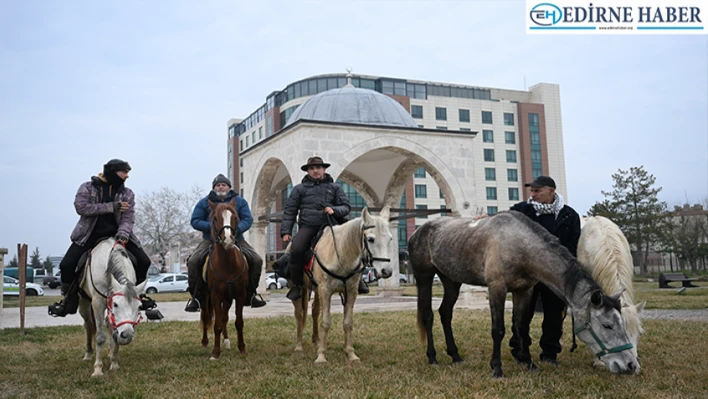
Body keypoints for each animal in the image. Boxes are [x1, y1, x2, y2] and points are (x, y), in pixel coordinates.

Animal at [78, 238, 147, 378]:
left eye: (139, 307)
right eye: (116, 304)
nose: (127, 336)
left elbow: (114, 335)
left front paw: (114, 364)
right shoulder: (98, 303)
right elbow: (100, 337)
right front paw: (98, 370)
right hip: (84, 303)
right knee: (88, 325)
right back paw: (88, 354)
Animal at [199, 202, 249, 360]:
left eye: (235, 217)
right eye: (215, 218)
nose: (228, 240)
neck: (228, 264)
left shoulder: (240, 294)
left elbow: (238, 322)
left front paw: (242, 348)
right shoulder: (215, 295)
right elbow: (217, 325)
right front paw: (215, 353)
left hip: (228, 298)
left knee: (224, 317)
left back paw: (226, 340)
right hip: (206, 298)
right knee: (206, 316)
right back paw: (205, 342)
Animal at [292, 208, 396, 364]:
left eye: (390, 239)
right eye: (370, 239)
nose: (387, 271)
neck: (341, 255)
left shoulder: (350, 292)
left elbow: (347, 323)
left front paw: (350, 354)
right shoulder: (326, 290)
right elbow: (325, 322)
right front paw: (321, 356)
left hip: (316, 290)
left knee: (315, 311)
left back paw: (316, 341)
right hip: (303, 289)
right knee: (299, 314)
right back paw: (299, 346)